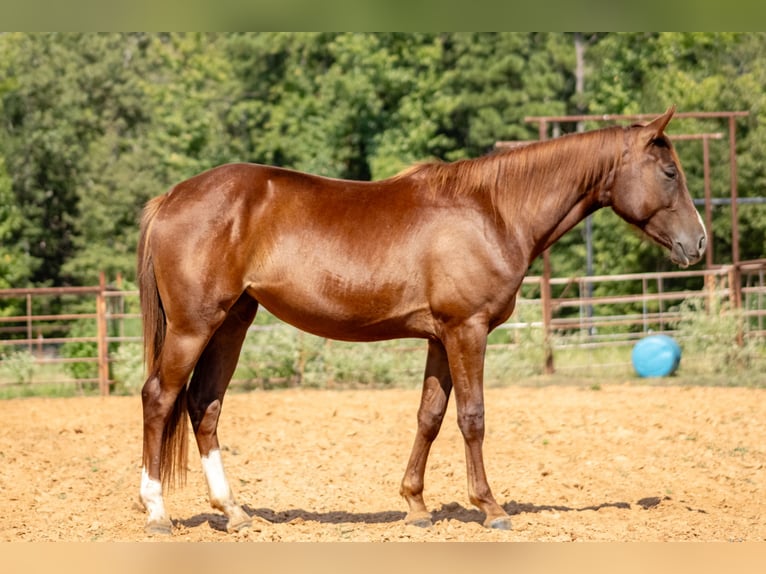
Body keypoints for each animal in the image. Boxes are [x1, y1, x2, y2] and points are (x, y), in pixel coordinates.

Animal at [136, 107, 708, 536]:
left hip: (232, 323)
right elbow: (472, 417)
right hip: (193, 327)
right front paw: (490, 507)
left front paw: (415, 506)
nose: (698, 243)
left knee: (204, 405)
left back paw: (234, 512)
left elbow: (429, 417)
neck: (494, 211)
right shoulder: (466, 330)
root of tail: (173, 197)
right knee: (160, 398)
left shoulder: (439, 337)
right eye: (670, 173)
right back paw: (157, 511)